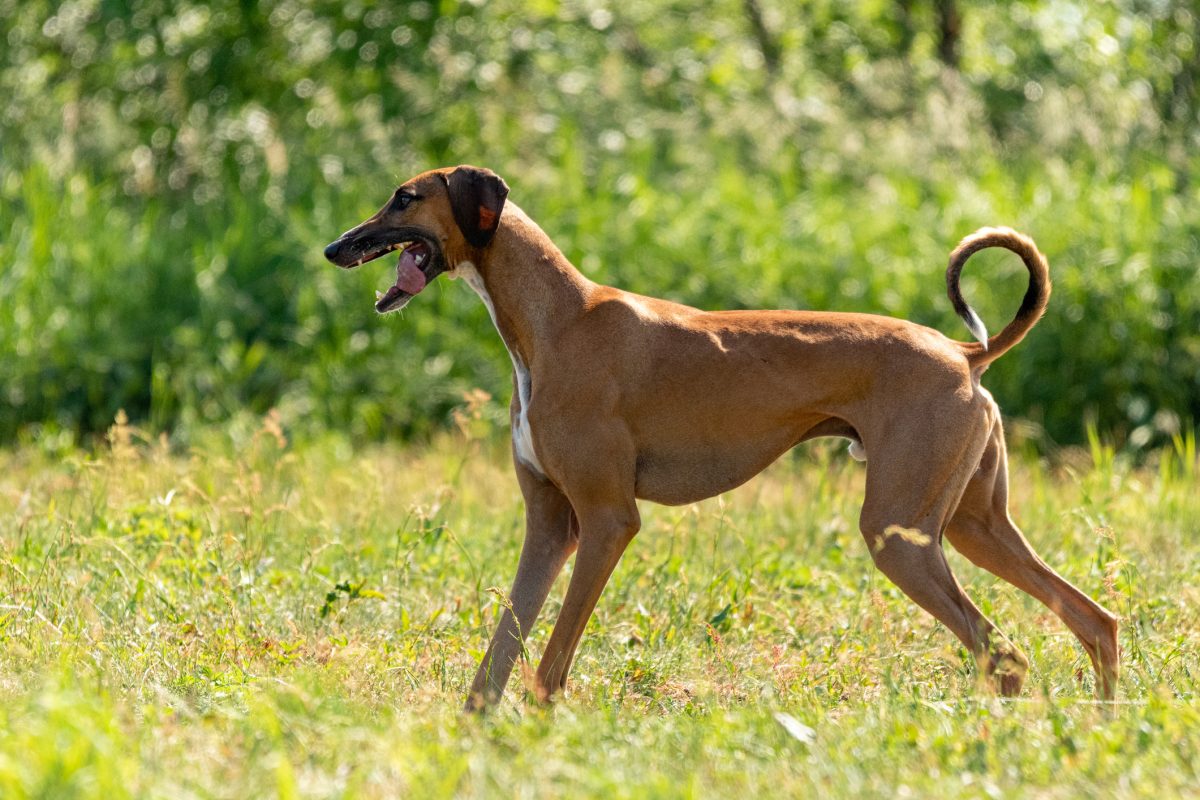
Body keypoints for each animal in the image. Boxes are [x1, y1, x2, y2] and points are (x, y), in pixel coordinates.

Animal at [324, 160, 1118, 705]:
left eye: (404, 197)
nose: (335, 247)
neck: (557, 318)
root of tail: (963, 353)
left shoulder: (607, 522)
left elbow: (550, 664)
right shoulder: (550, 526)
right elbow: (496, 659)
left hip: (901, 536)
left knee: (1004, 654)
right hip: (971, 528)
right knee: (1093, 620)